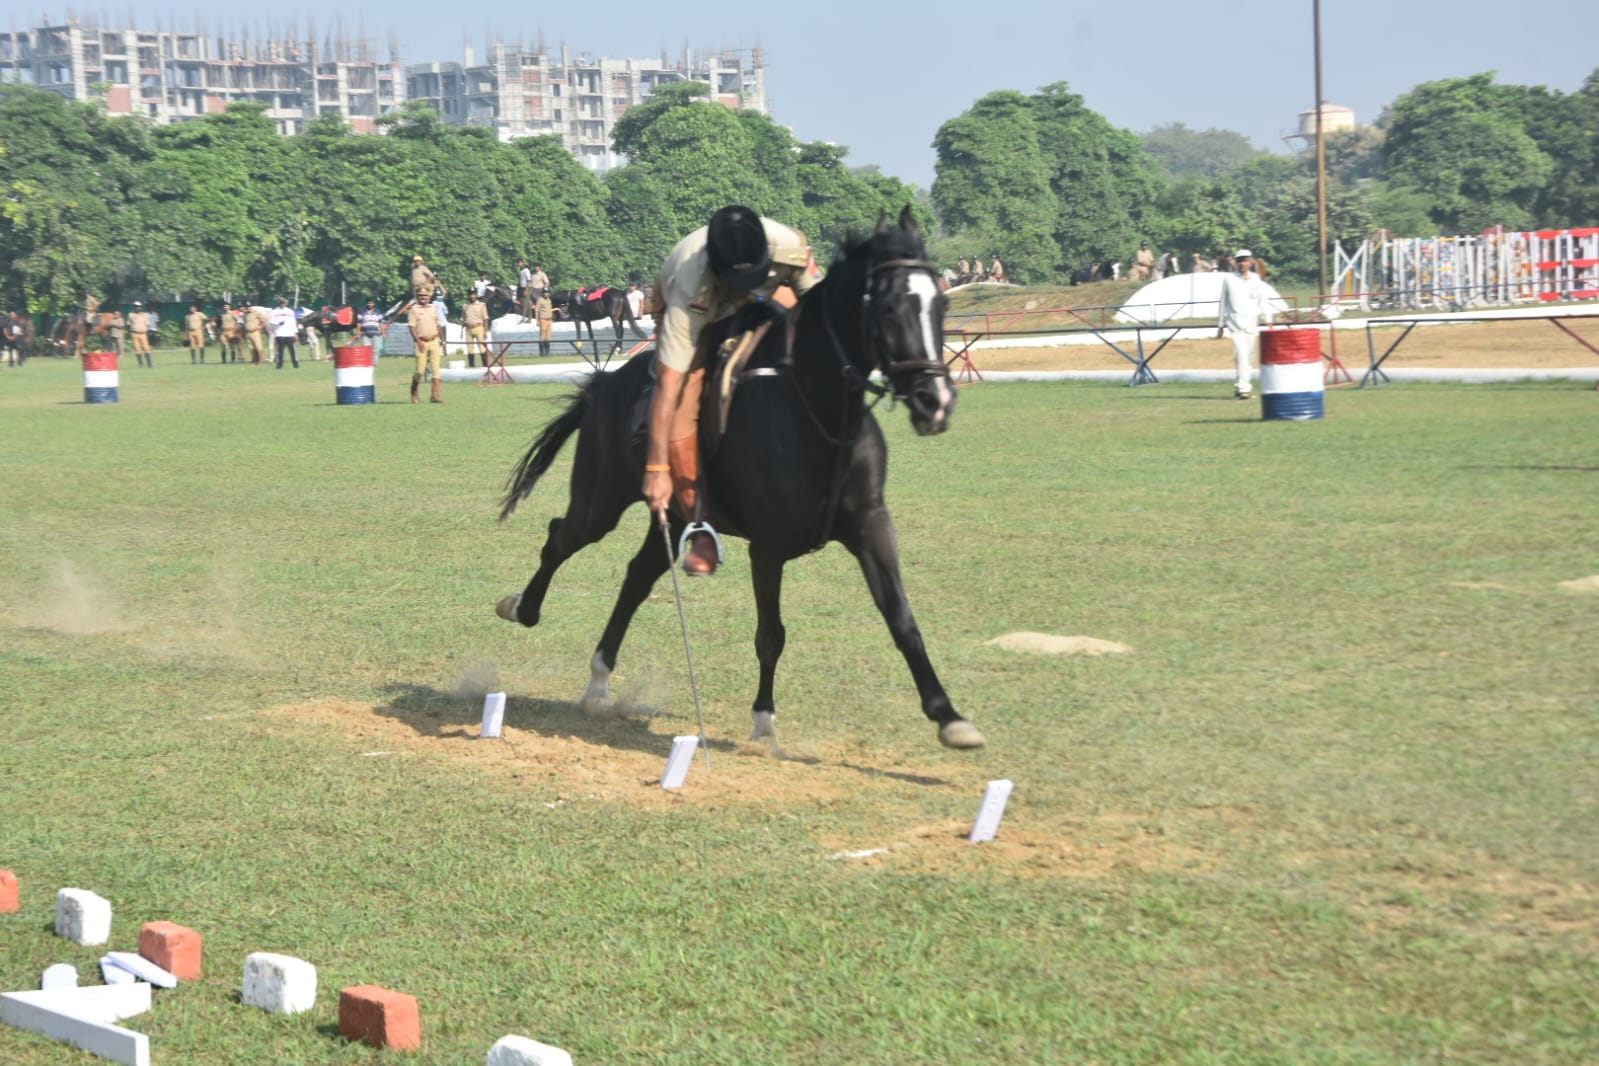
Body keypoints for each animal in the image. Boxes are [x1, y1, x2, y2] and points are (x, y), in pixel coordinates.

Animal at [492, 206, 978, 751]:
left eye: (940, 303)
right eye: (890, 307)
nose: (936, 403)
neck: (818, 411)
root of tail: (604, 385)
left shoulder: (872, 526)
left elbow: (902, 619)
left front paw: (948, 716)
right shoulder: (767, 545)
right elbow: (771, 634)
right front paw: (764, 720)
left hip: (670, 512)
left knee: (636, 578)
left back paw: (599, 682)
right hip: (600, 503)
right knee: (561, 537)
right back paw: (522, 609)